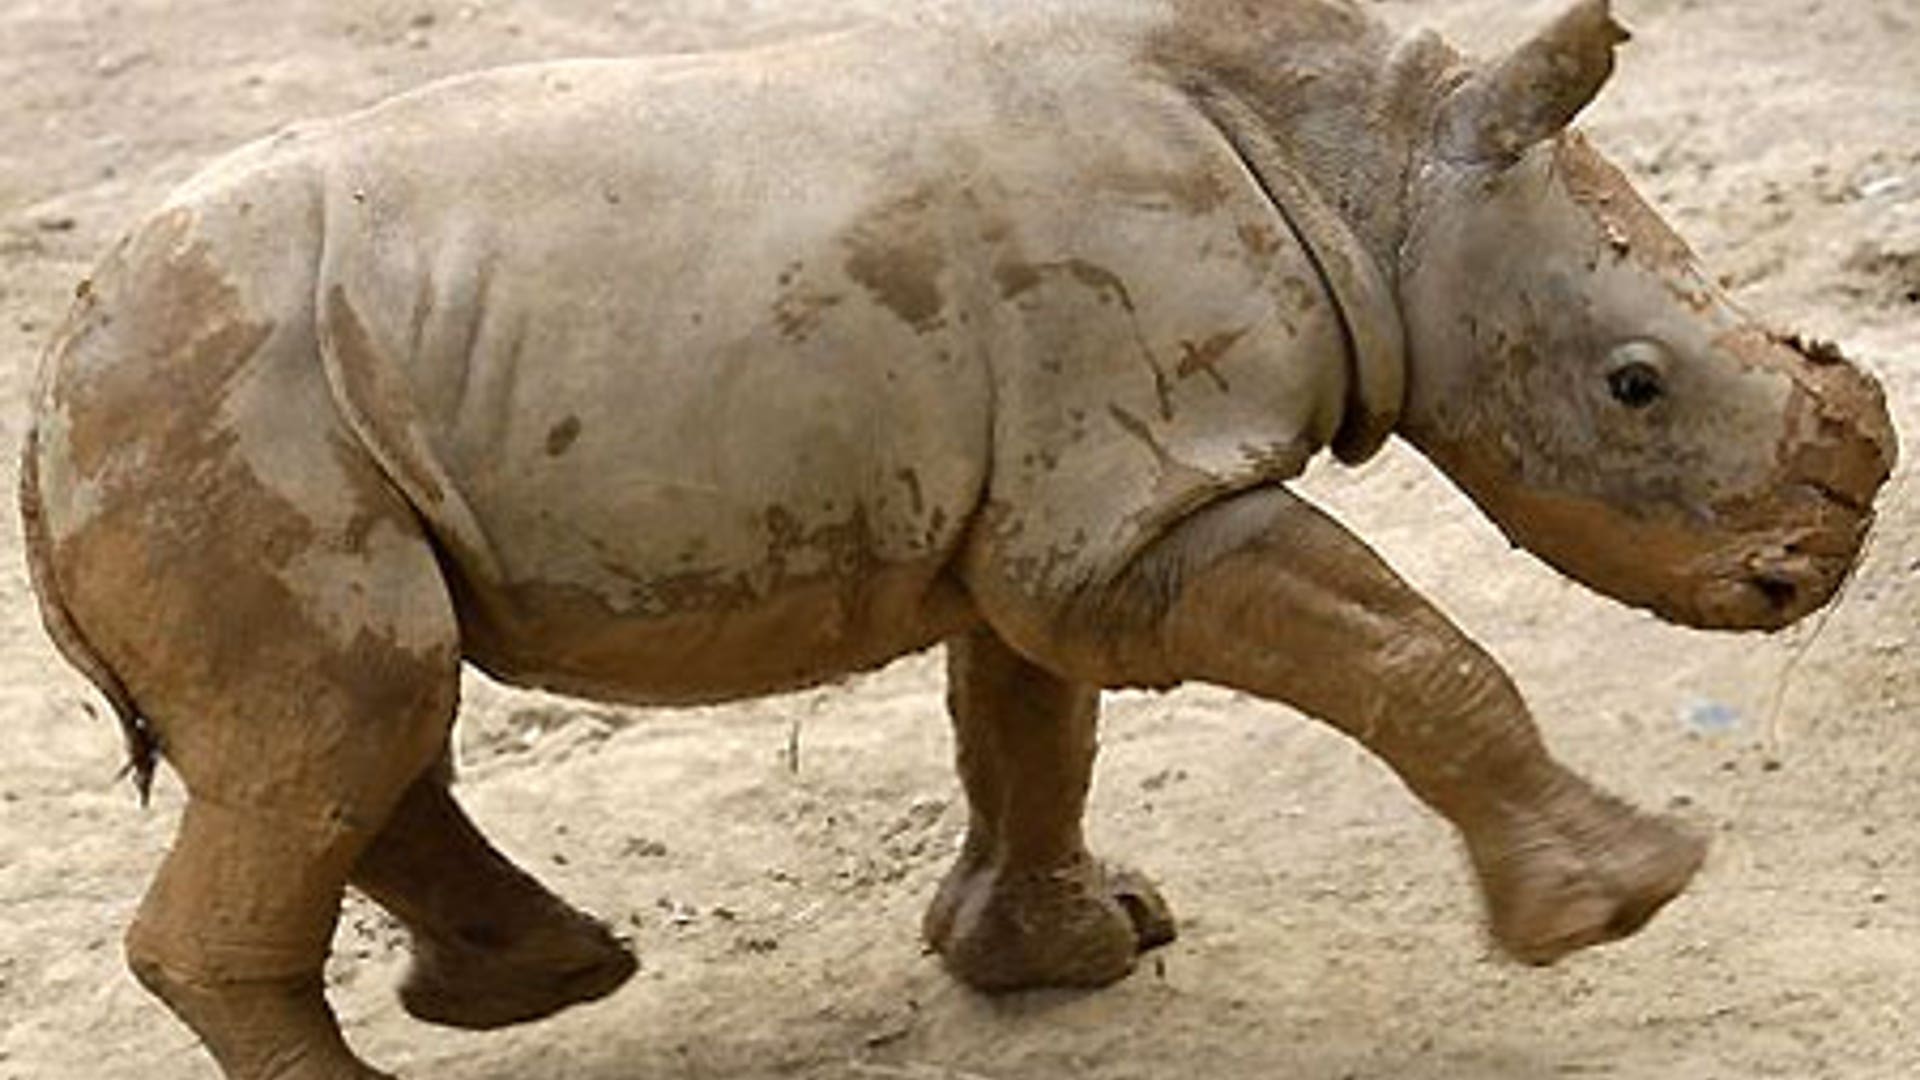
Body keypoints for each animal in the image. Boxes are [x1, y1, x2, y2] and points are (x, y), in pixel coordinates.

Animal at [19, 0, 1895, 1076]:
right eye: (1635, 387)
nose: (1809, 573)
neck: (1364, 166)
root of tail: (44, 404)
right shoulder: (1130, 502)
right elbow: (1409, 649)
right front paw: (1629, 900)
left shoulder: (1061, 501)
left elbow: (1028, 722)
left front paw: (1062, 956)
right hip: (216, 412)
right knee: (348, 712)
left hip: (267, 411)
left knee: (364, 712)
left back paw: (550, 977)